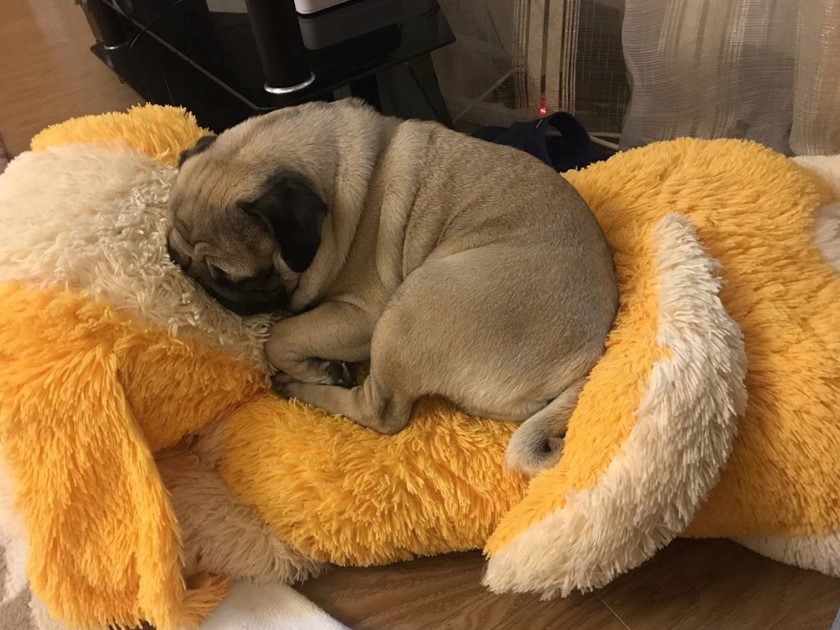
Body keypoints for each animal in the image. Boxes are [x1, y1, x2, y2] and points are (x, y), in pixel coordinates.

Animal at [169, 100, 616, 474]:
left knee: (380, 411)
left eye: (233, 276)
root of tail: (583, 361)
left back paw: (304, 386)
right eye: (173, 254)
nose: (202, 284)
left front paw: (312, 366)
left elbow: (279, 337)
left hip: (410, 304)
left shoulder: (361, 316)